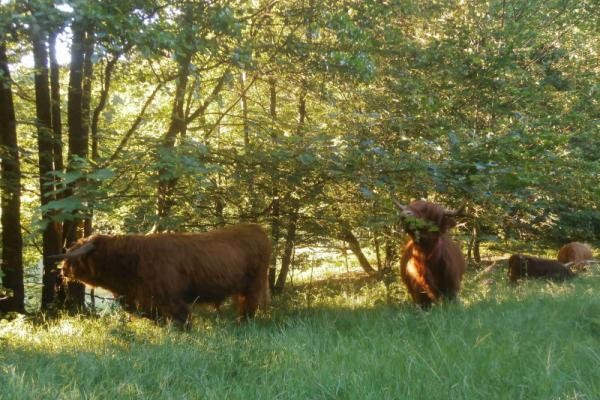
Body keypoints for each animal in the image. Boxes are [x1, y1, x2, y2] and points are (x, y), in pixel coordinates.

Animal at [56, 223, 272, 324]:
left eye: (74, 258)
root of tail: (257, 229)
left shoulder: (170, 297)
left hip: (255, 283)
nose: (63, 269)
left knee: (250, 305)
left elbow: (181, 318)